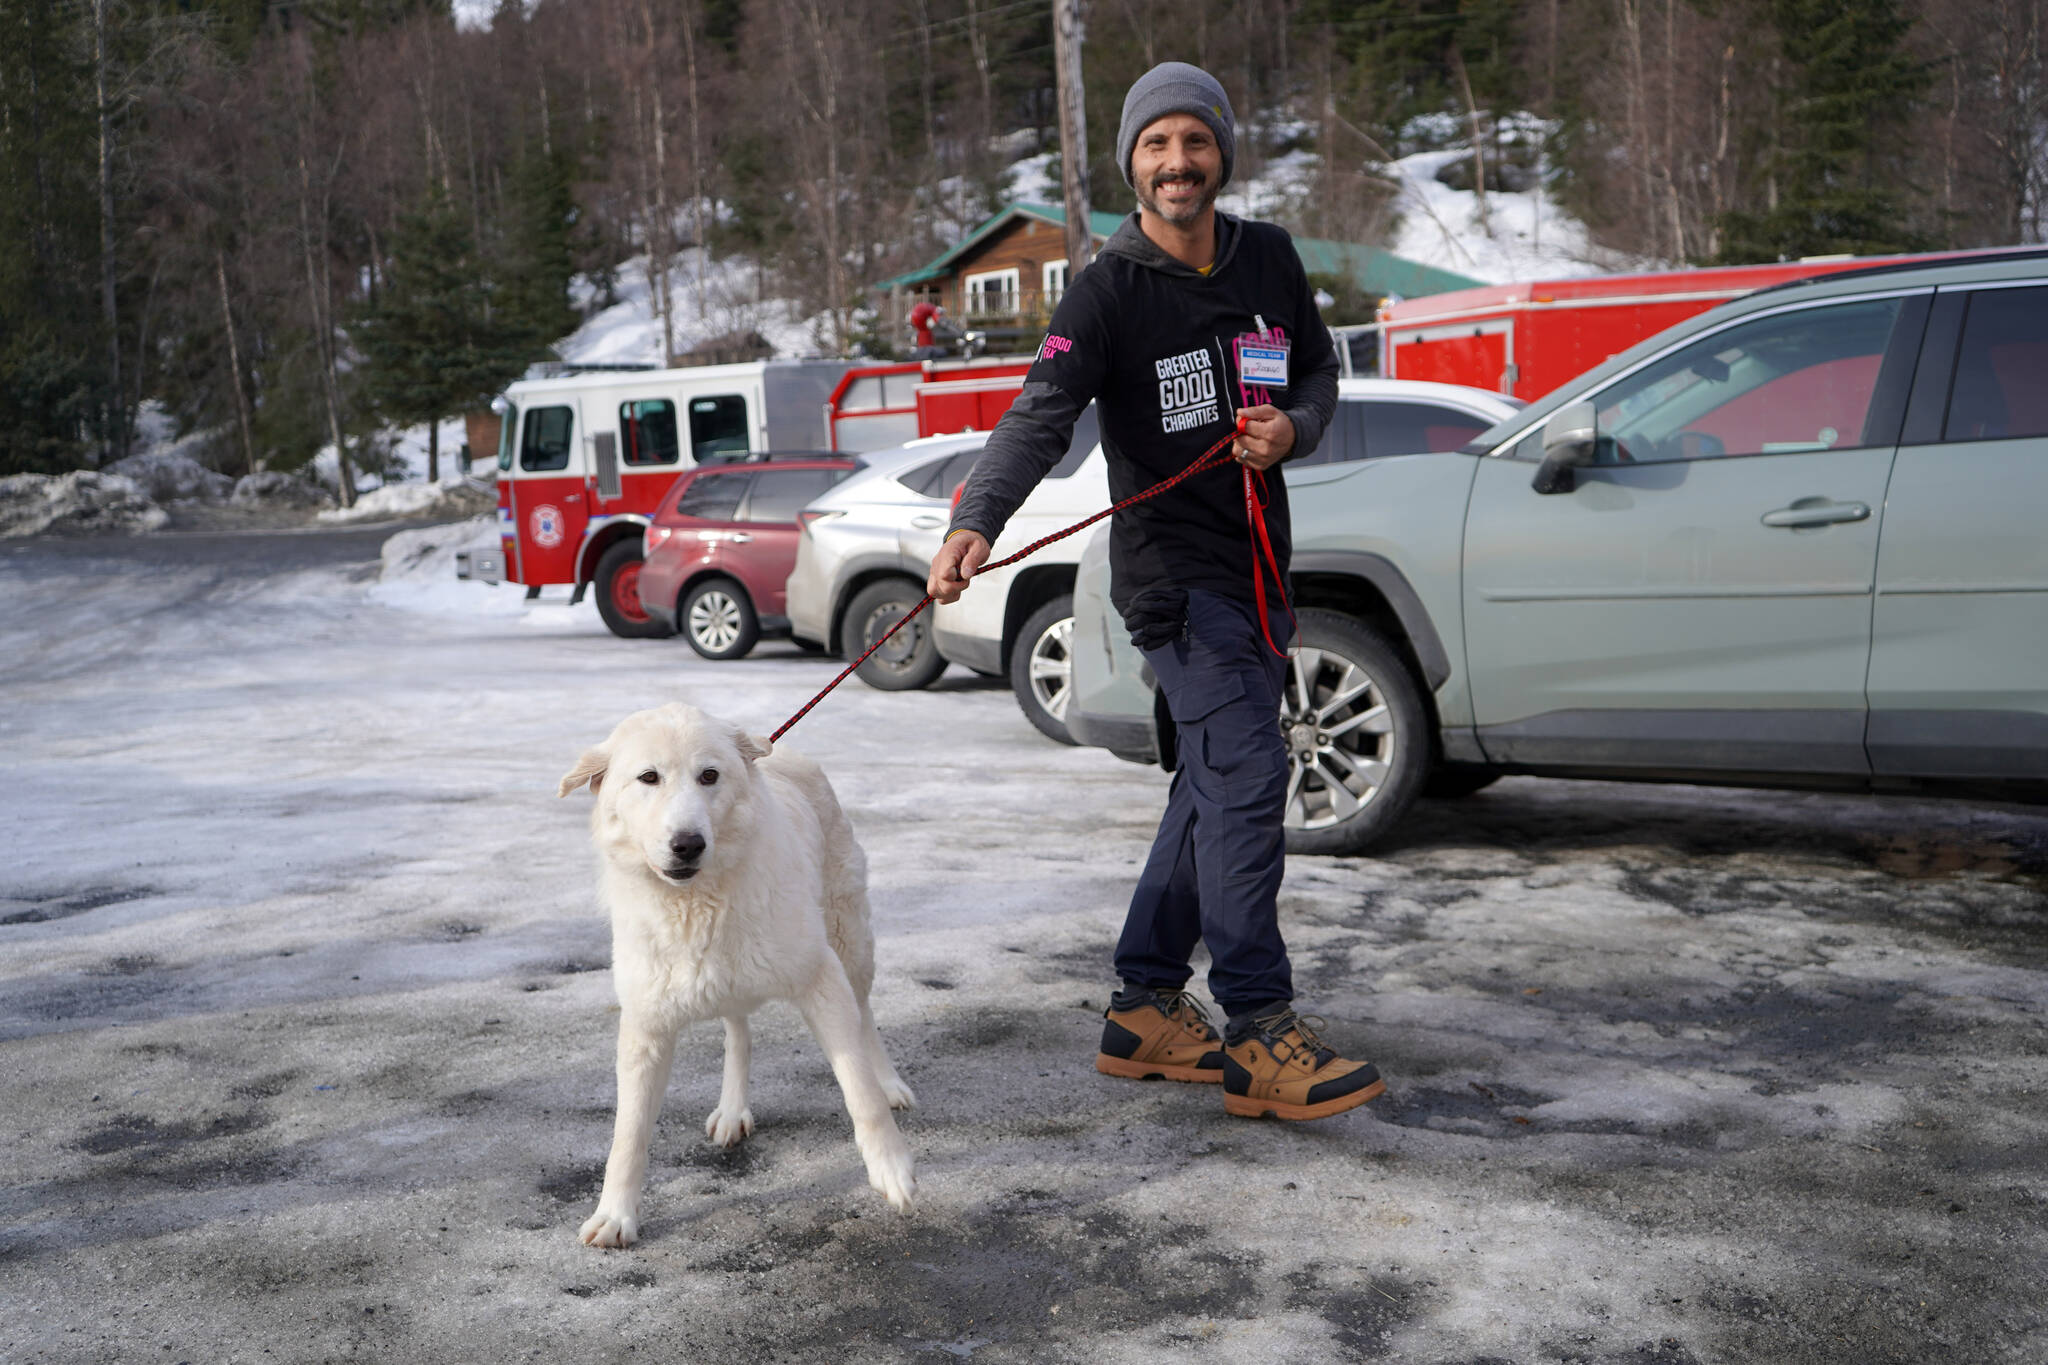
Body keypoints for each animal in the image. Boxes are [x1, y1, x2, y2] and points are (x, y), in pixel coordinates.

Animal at [557, 703, 917, 1252]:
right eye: (648, 777)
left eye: (710, 776)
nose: (687, 844)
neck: (696, 902)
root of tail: (780, 750)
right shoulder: (645, 1028)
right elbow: (628, 1135)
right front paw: (615, 1214)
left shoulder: (822, 980)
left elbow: (860, 1091)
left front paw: (891, 1170)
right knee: (738, 1033)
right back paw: (732, 1110)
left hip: (849, 942)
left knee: (865, 1016)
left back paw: (891, 1081)